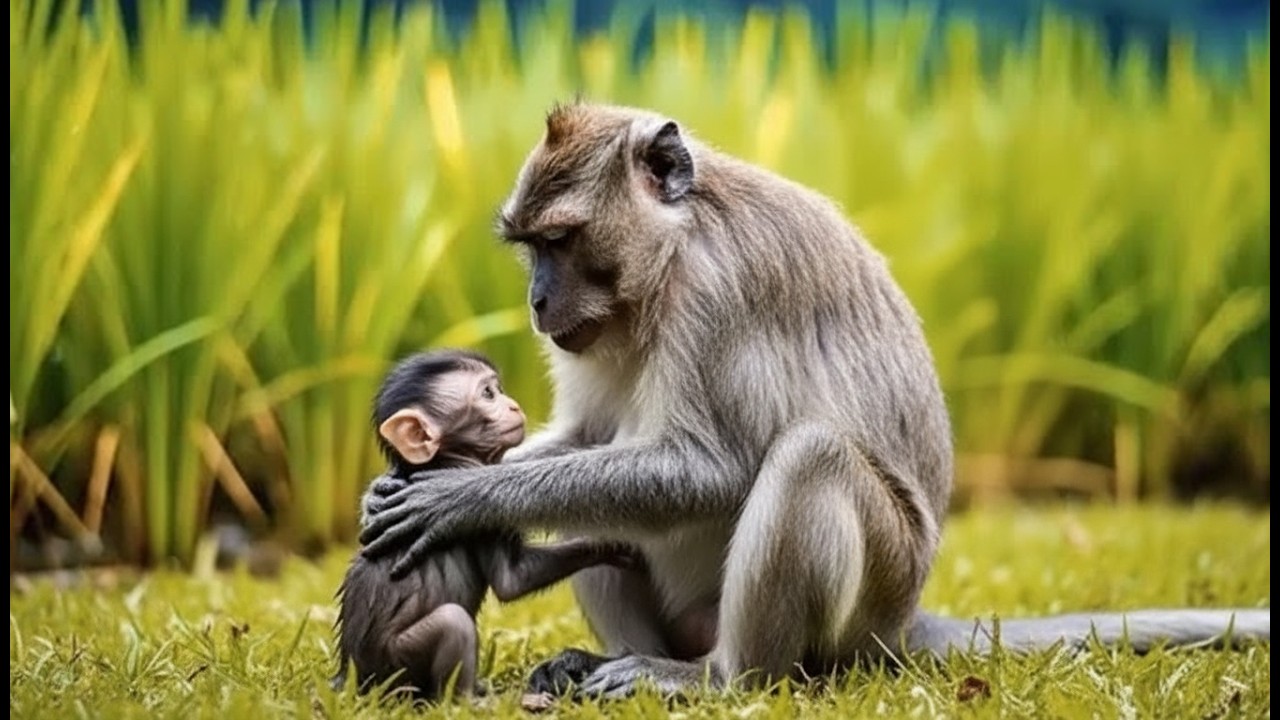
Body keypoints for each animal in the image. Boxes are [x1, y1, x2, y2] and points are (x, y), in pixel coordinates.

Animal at [332, 349, 636, 700]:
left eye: (498, 390)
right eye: (488, 394)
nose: (513, 405)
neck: (446, 459)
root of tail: (351, 677)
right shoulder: (480, 512)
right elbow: (512, 579)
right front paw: (607, 544)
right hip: (394, 666)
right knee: (453, 621)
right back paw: (471, 699)